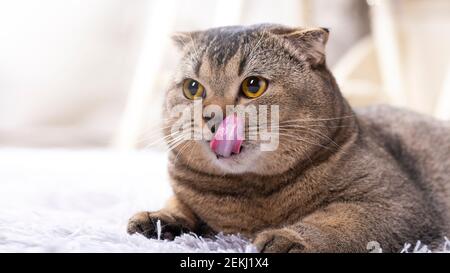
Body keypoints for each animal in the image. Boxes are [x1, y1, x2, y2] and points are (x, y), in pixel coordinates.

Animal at [126, 24, 450, 252]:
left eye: (253, 86)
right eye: (192, 88)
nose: (212, 117)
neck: (250, 196)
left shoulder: (399, 203)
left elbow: (338, 221)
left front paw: (289, 237)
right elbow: (179, 202)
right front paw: (158, 218)